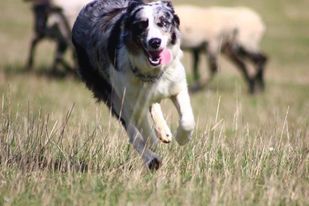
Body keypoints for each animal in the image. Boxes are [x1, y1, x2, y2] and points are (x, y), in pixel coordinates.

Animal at [71, 0, 195, 170]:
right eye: (142, 25)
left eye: (163, 22)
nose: (154, 42)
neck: (151, 72)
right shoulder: (130, 99)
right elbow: (142, 127)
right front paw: (152, 142)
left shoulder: (176, 85)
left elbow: (187, 120)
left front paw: (182, 138)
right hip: (112, 96)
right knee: (132, 133)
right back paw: (152, 159)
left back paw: (164, 132)